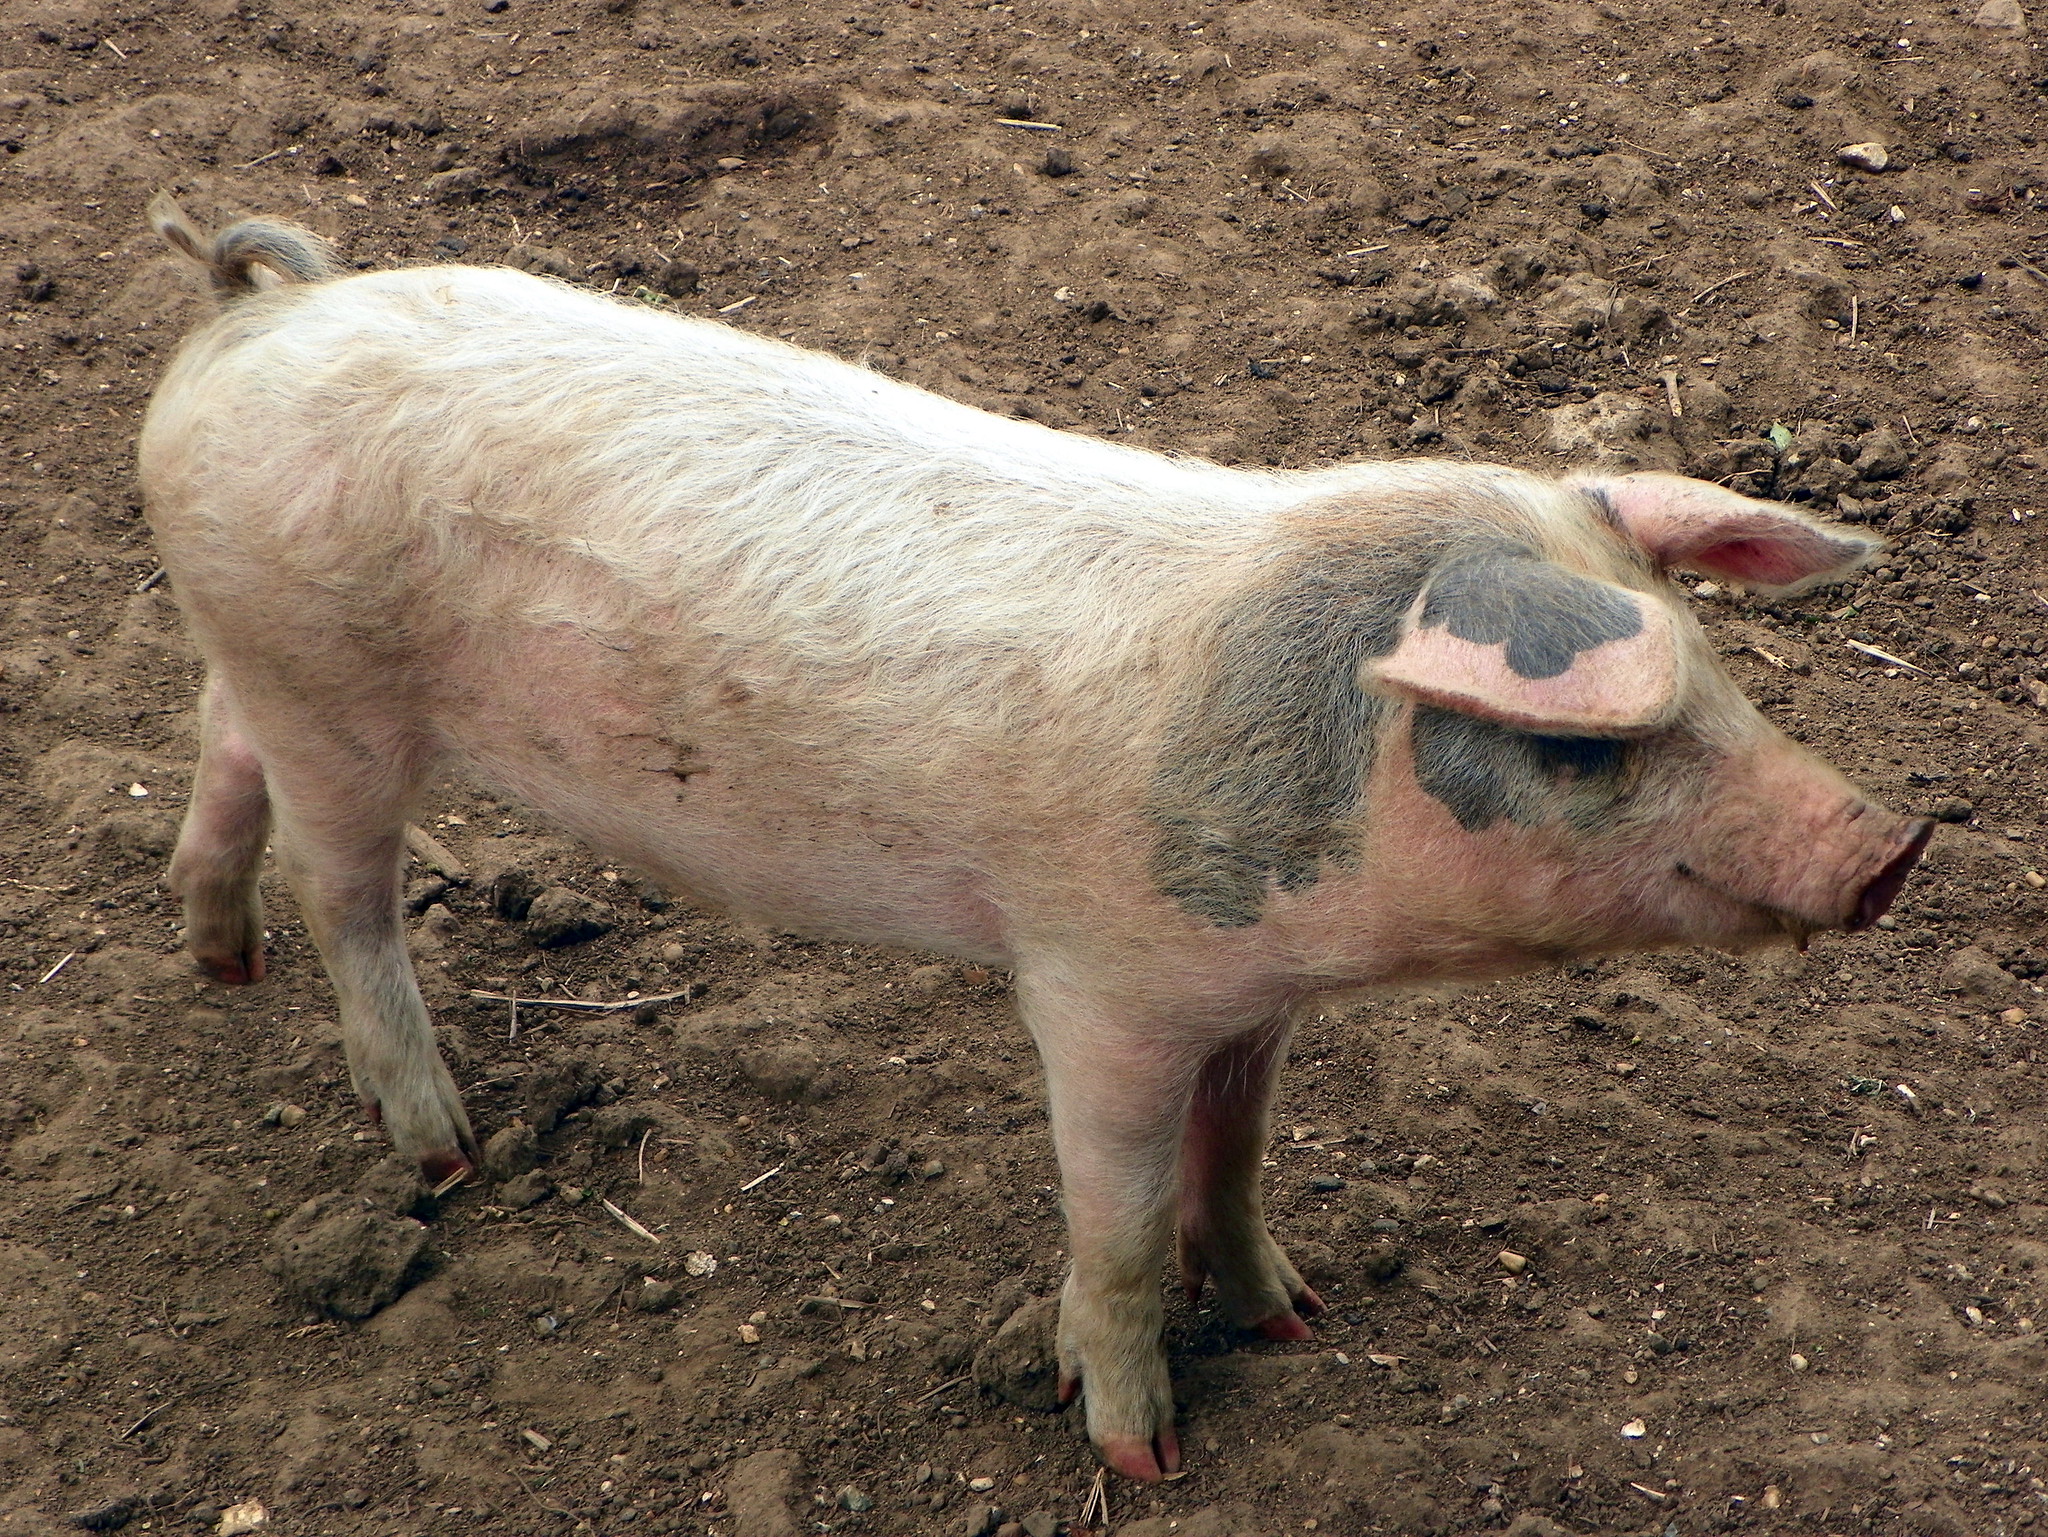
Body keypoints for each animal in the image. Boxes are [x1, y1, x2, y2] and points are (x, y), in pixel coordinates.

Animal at [139, 197, 1931, 1481]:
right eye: (1579, 742)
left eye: (1708, 669)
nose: (1889, 845)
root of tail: (265, 306)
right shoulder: (1097, 985)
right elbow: (1119, 1221)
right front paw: (1143, 1455)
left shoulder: (1246, 993)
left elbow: (1239, 1155)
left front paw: (1296, 1318)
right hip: (333, 697)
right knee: (348, 895)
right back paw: (438, 1151)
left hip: (268, 666)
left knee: (220, 753)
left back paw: (215, 961)